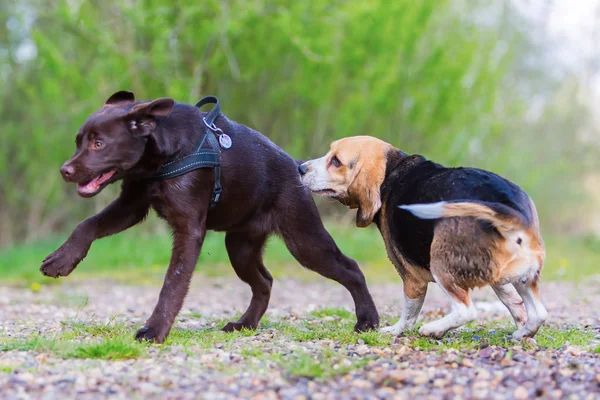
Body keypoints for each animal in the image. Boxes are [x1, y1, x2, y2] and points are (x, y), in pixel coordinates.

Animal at [39, 92, 378, 342]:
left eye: (99, 144)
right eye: (79, 141)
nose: (64, 171)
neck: (159, 161)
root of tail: (297, 168)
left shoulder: (188, 229)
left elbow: (173, 282)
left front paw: (154, 330)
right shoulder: (131, 205)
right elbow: (87, 225)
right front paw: (61, 260)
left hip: (305, 240)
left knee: (351, 269)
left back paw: (368, 320)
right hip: (240, 247)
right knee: (264, 281)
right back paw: (245, 324)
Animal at [298, 136, 548, 340]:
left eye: (336, 161)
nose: (300, 168)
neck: (392, 171)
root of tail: (511, 211)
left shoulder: (411, 276)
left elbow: (410, 311)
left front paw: (396, 330)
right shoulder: (499, 280)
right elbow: (512, 302)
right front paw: (520, 322)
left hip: (440, 265)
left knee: (466, 311)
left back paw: (433, 329)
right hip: (524, 276)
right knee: (539, 313)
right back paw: (522, 333)